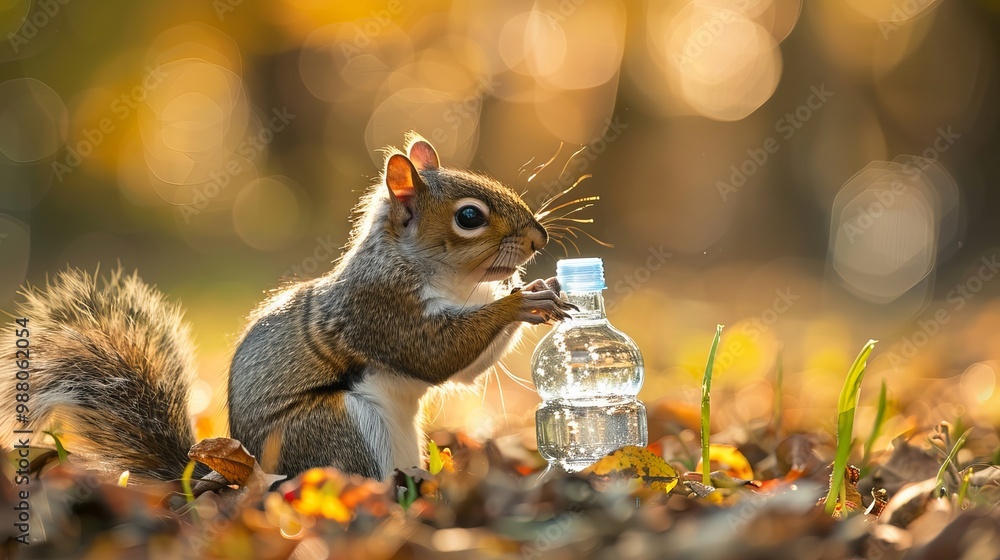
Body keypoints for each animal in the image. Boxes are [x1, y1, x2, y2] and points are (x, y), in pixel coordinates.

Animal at [1, 134, 575, 484]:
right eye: (469, 217)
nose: (539, 238)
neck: (452, 284)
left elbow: (465, 367)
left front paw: (544, 286)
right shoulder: (378, 311)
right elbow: (435, 355)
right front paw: (522, 301)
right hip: (336, 430)